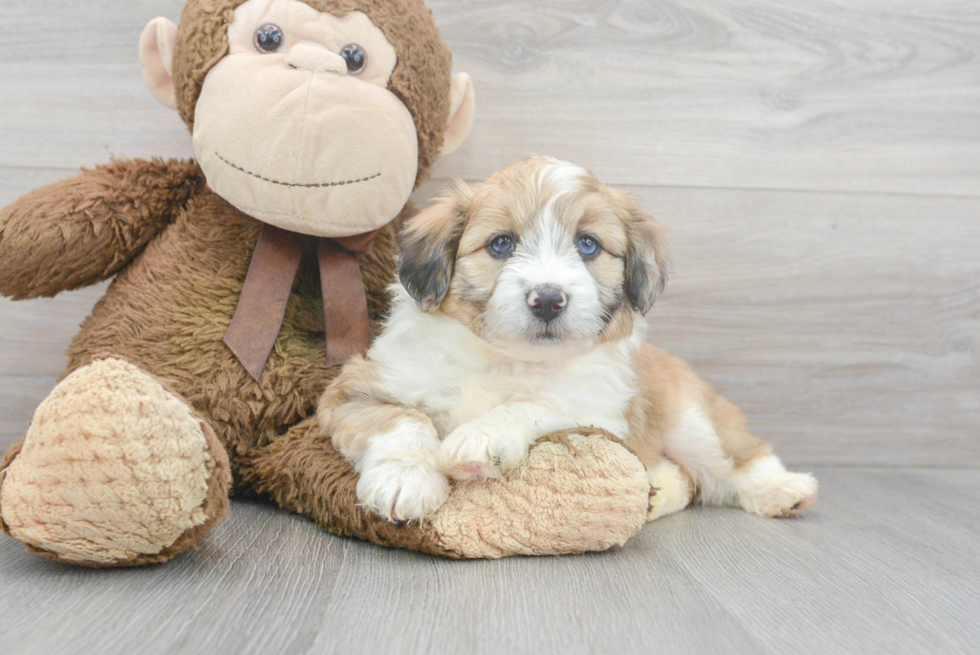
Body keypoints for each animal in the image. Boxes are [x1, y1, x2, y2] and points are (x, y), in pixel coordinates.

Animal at [318, 158, 816, 524]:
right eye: (501, 244)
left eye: (588, 245)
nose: (548, 299)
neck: (507, 359)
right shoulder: (356, 388)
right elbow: (403, 419)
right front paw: (406, 480)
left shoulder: (599, 414)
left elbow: (537, 403)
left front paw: (479, 438)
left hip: (691, 422)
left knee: (734, 458)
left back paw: (782, 488)